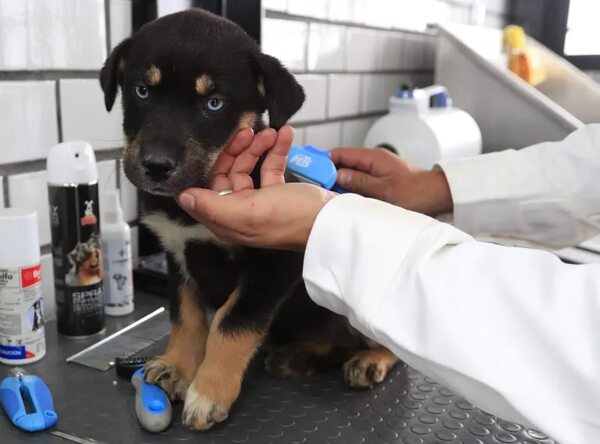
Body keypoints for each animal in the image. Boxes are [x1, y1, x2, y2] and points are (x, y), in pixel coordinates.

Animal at [99, 7, 398, 430]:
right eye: (142, 91)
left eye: (214, 103)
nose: (155, 167)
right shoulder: (175, 254)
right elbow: (186, 317)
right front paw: (178, 367)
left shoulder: (277, 262)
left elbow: (230, 321)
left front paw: (209, 392)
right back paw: (298, 357)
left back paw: (371, 360)